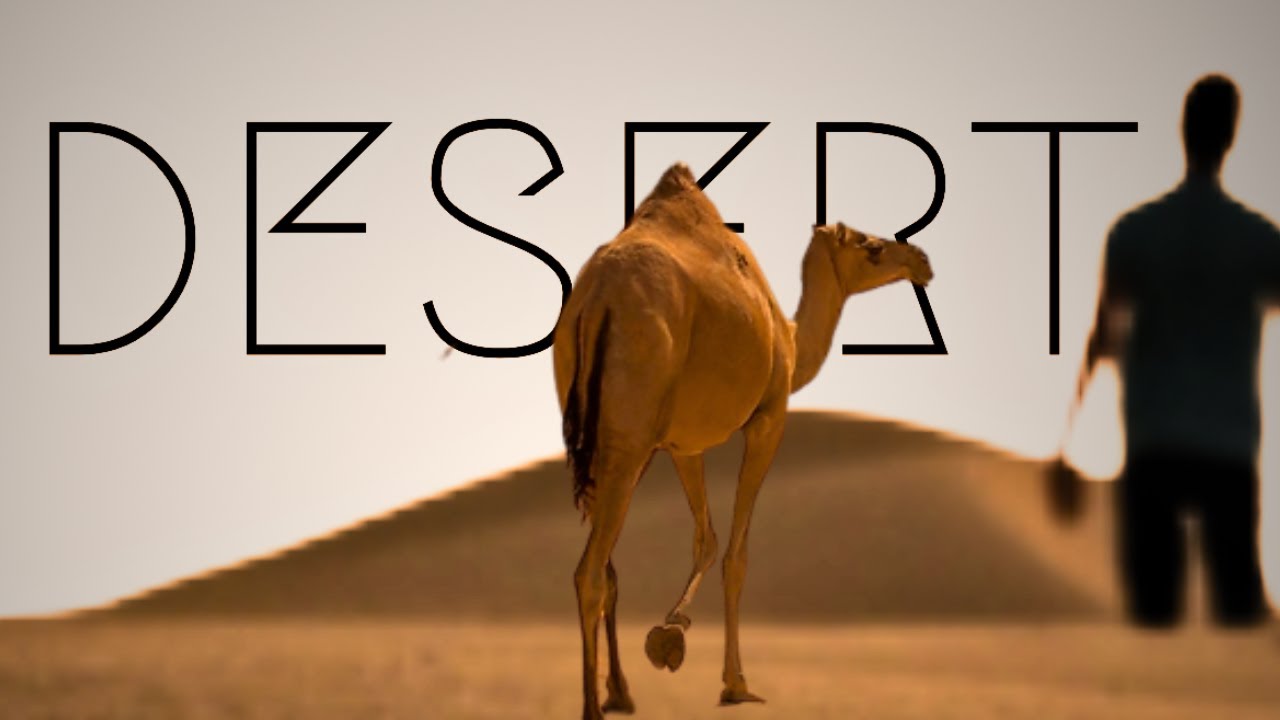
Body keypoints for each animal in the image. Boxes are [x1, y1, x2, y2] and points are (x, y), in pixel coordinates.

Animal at [553, 163, 933, 719]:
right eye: (871, 248)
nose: (922, 261)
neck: (789, 337)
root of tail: (599, 297)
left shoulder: (683, 445)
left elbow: (704, 539)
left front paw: (669, 634)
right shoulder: (769, 418)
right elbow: (736, 555)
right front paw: (734, 682)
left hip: (603, 431)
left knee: (604, 564)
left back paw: (620, 692)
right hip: (630, 434)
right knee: (588, 572)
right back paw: (593, 707)